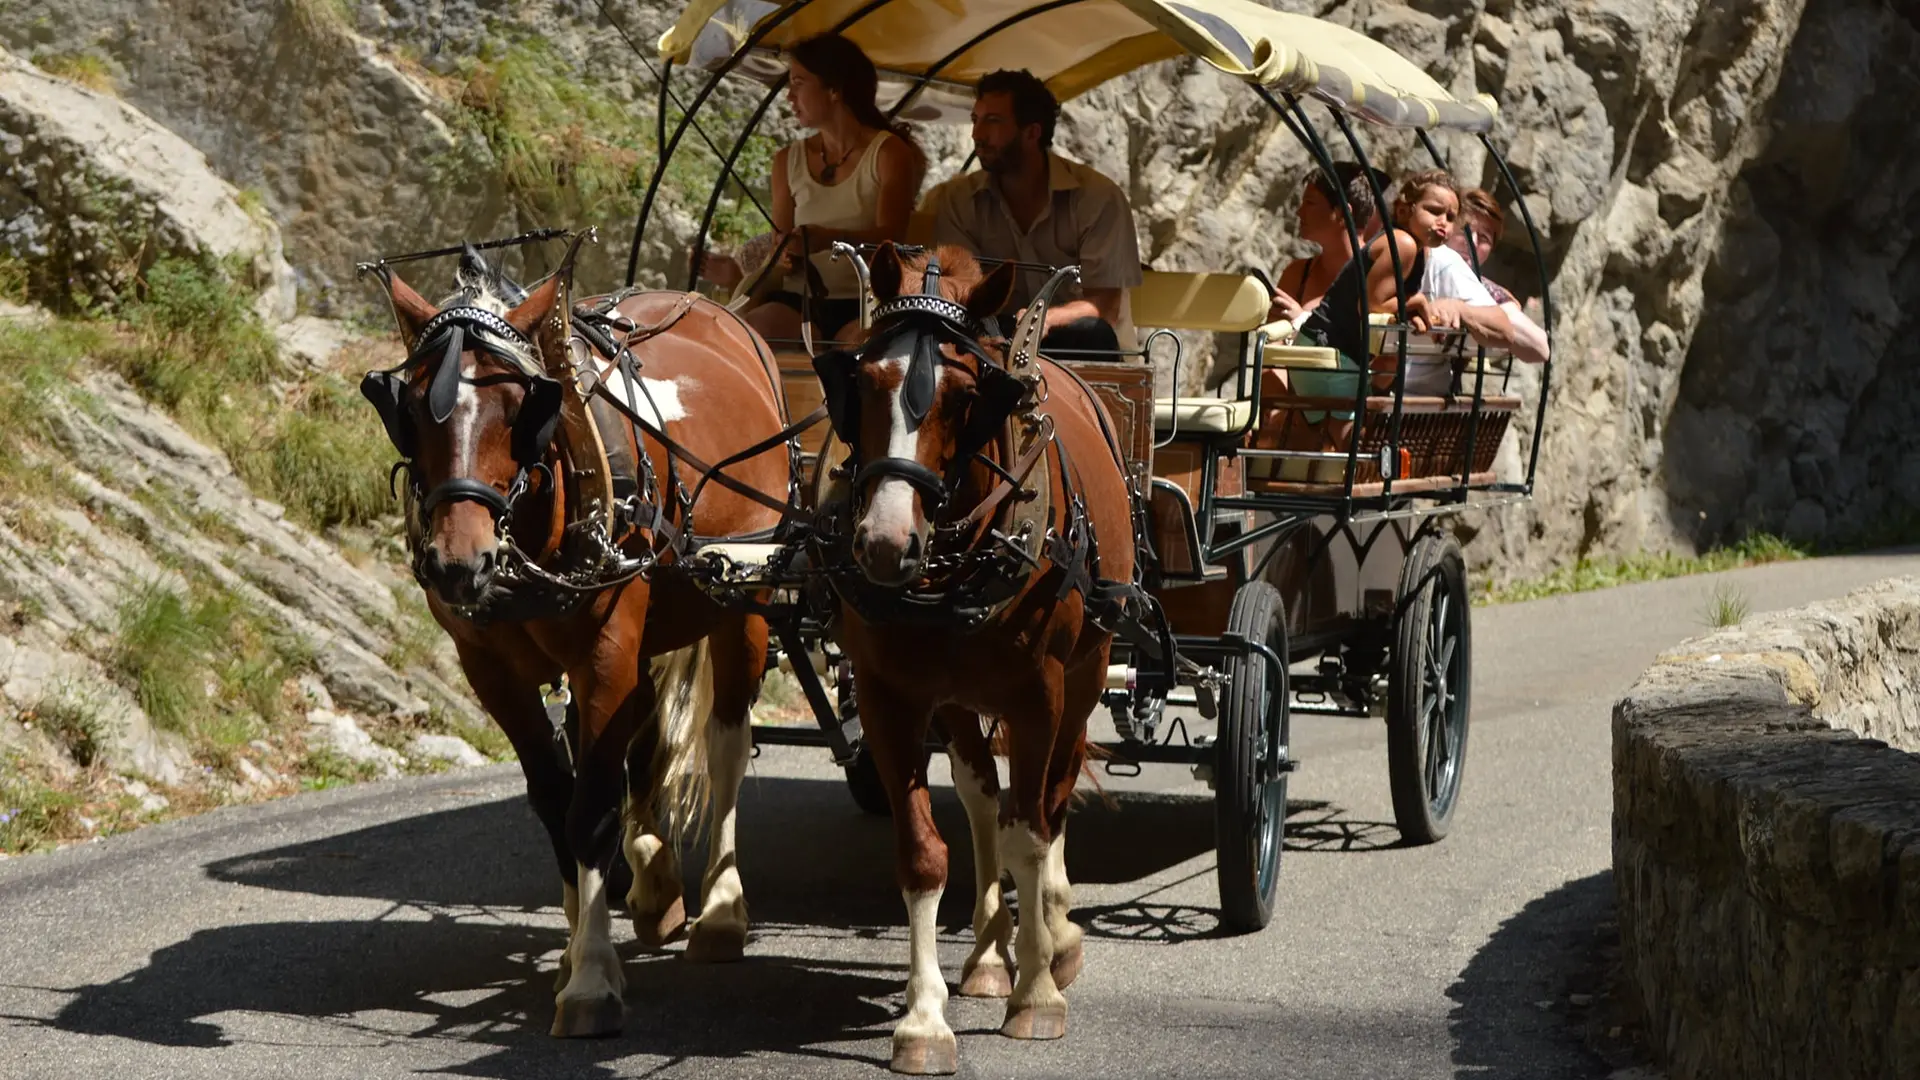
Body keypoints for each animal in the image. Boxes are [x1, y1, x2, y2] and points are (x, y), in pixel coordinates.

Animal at [357, 237, 791, 1037]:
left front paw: (589, 980)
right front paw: (575, 950)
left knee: (724, 741)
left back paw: (720, 911)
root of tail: (718, 308)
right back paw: (655, 885)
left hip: (745, 600)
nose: (459, 564)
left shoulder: (605, 652)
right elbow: (556, 797)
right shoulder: (491, 669)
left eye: (521, 407)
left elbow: (590, 809)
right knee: (646, 743)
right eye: (409, 409)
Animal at [810, 242, 1136, 1068]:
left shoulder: (1039, 693)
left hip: (1086, 673)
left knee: (1051, 797)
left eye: (965, 394)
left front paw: (1039, 991)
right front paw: (924, 1020)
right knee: (985, 795)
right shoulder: (891, 696)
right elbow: (926, 852)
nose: (885, 544)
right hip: (959, 700)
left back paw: (1054, 936)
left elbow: (1032, 832)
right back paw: (991, 954)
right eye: (862, 380)